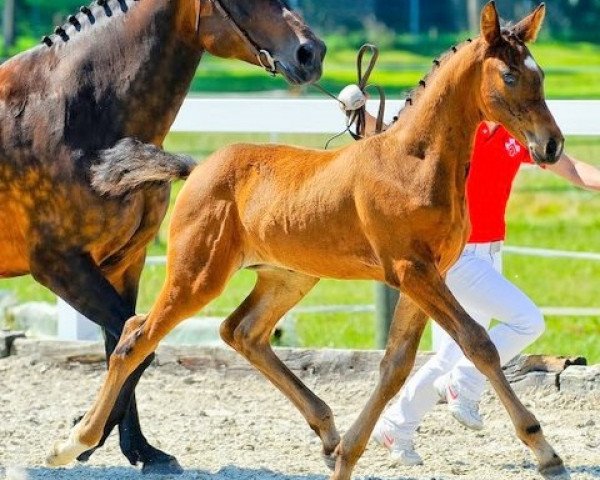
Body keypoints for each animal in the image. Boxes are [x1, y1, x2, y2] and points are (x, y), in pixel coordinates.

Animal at [50, 1, 568, 478]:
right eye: (509, 75)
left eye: (540, 73)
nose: (551, 145)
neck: (414, 162)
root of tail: (197, 169)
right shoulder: (412, 271)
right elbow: (477, 343)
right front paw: (546, 453)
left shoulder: (425, 276)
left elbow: (395, 366)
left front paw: (347, 456)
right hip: (198, 275)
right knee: (135, 336)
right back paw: (73, 443)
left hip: (288, 277)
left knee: (241, 332)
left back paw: (328, 434)